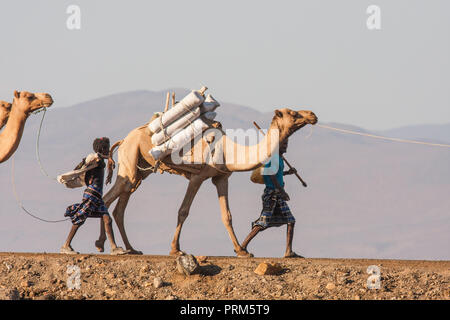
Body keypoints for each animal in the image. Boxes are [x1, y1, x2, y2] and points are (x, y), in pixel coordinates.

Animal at [96, 105, 318, 258]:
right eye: (293, 113)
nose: (312, 115)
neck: (228, 150)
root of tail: (123, 140)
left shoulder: (221, 178)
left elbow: (227, 215)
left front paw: (241, 251)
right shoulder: (198, 177)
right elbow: (183, 211)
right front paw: (175, 249)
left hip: (140, 171)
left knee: (120, 205)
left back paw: (130, 248)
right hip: (130, 158)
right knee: (109, 198)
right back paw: (109, 247)